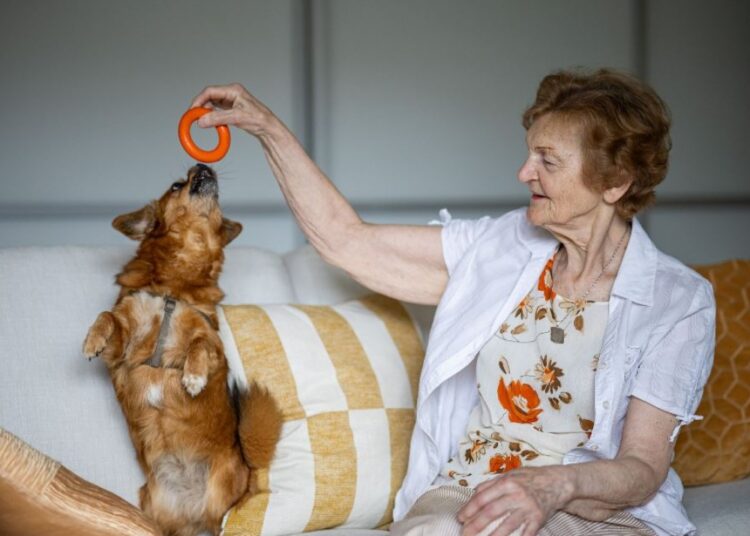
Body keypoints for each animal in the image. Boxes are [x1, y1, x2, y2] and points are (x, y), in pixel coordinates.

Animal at [82, 164, 282, 536]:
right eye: (176, 185)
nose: (202, 166)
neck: (174, 286)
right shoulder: (120, 352)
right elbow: (107, 316)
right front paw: (92, 340)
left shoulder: (216, 348)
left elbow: (200, 343)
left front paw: (192, 376)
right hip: (153, 511)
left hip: (221, 501)